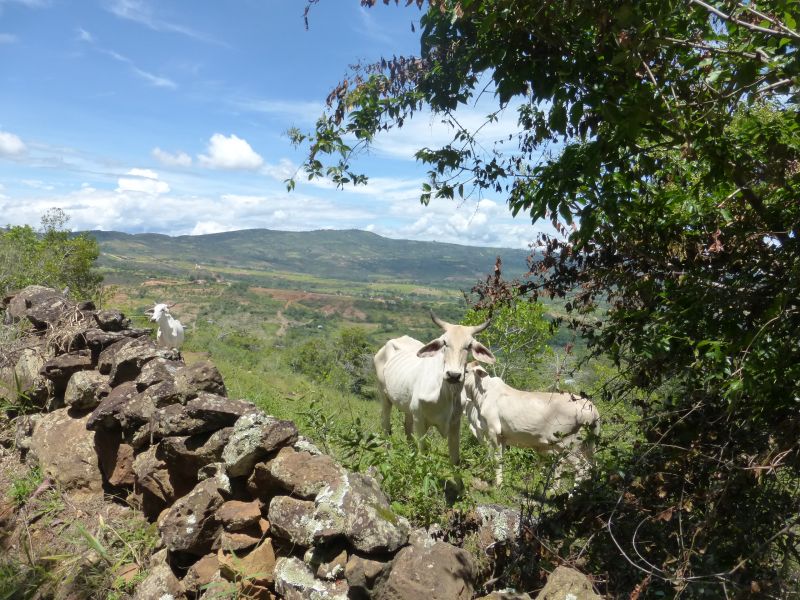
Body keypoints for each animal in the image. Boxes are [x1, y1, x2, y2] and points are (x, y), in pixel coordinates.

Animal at [374, 312, 496, 466]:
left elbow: (455, 458)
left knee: (407, 426)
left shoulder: (455, 422)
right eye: (444, 343)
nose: (453, 375)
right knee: (385, 425)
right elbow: (423, 452)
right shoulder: (420, 420)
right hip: (384, 396)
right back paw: (388, 453)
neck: (446, 393)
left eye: (468, 345)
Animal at [462, 360, 600, 488]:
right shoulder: (502, 436)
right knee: (591, 467)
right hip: (586, 446)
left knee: (582, 468)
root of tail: (592, 407)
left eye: (466, 371)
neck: (483, 394)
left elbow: (495, 458)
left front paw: (498, 484)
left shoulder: (492, 431)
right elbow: (500, 458)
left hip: (569, 445)